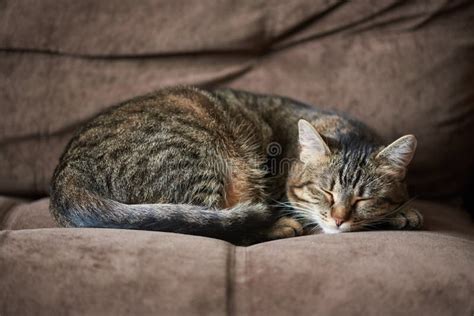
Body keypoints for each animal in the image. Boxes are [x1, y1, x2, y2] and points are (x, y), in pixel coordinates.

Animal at [50, 86, 424, 244]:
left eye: (363, 198)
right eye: (325, 192)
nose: (338, 218)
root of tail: (66, 173)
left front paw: (401, 210)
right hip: (200, 156)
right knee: (211, 225)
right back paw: (279, 226)